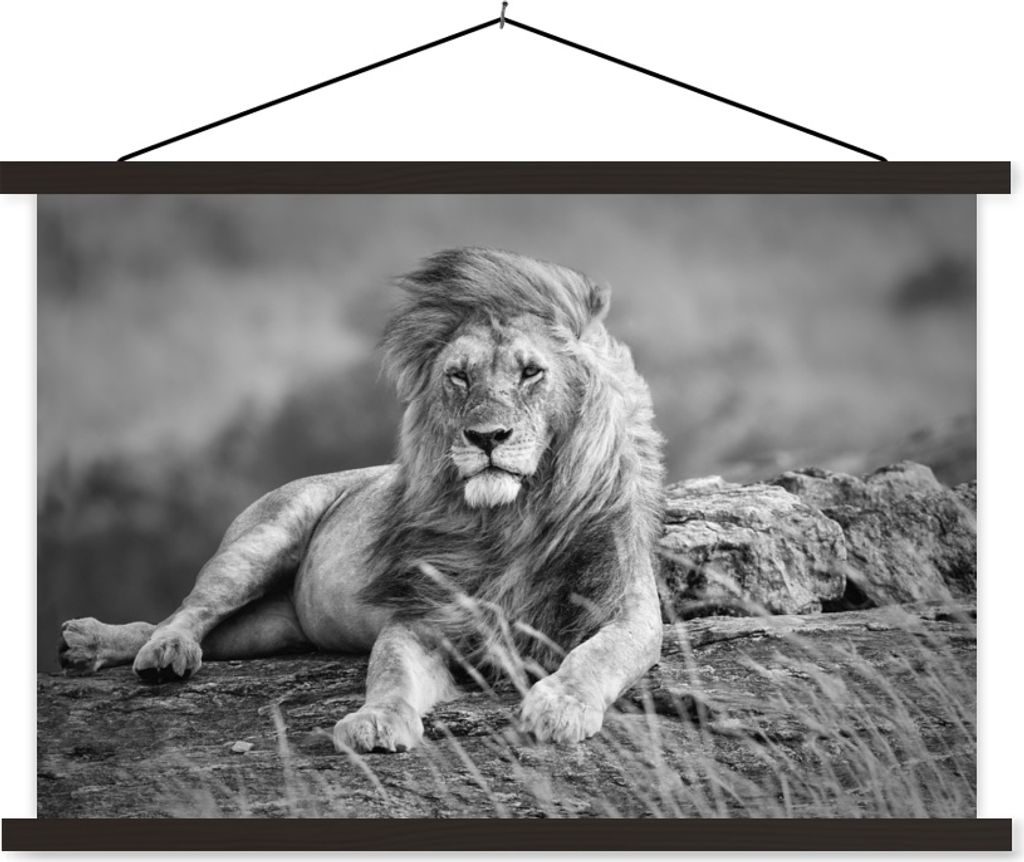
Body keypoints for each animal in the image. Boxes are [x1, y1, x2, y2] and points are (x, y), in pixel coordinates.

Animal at [59, 248, 666, 751]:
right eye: (459, 377)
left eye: (531, 371)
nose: (486, 437)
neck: (511, 519)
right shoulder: (422, 616)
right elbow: (390, 670)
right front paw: (376, 721)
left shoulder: (629, 610)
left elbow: (597, 654)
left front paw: (560, 706)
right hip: (260, 541)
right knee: (187, 611)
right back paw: (148, 650)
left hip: (269, 628)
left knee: (193, 628)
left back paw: (93, 645)